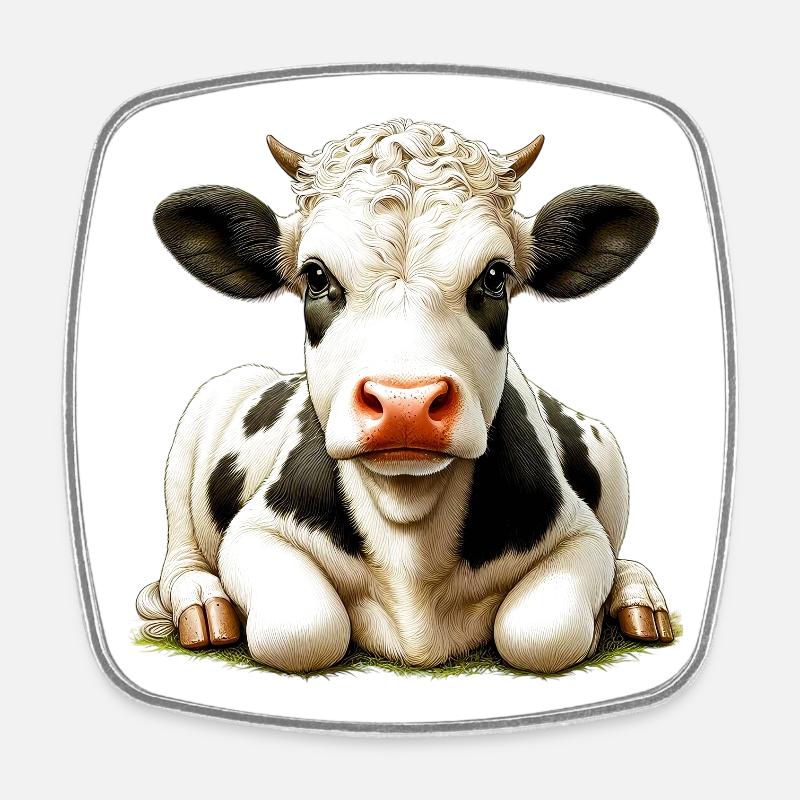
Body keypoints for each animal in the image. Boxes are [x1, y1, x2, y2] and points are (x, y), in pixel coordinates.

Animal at [136, 118, 671, 674]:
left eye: (495, 276)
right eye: (316, 276)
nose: (405, 404)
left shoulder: (580, 535)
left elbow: (543, 633)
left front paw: (597, 622)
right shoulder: (255, 532)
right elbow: (303, 629)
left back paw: (639, 601)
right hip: (198, 422)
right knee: (181, 557)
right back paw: (203, 607)